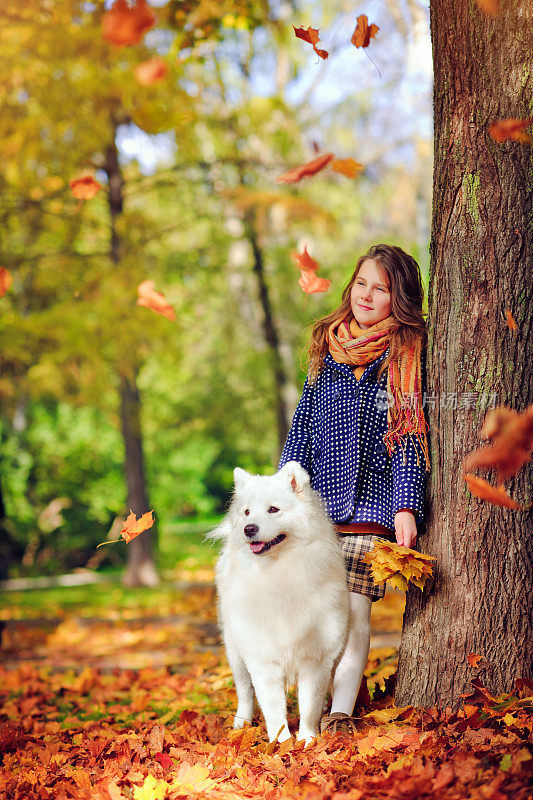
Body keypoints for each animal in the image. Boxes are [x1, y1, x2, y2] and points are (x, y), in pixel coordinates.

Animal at [208, 460, 350, 748]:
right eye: (247, 512)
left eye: (273, 510)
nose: (249, 528)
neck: (278, 573)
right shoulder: (263, 659)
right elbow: (273, 707)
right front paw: (281, 742)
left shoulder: (315, 658)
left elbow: (309, 705)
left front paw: (307, 739)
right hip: (235, 651)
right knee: (244, 691)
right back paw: (241, 724)